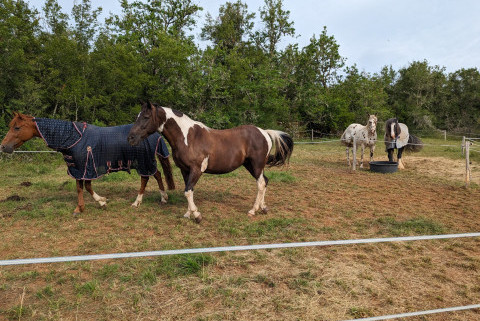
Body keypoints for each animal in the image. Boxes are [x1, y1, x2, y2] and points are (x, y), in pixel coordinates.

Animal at [0, 112, 176, 215]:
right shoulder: (79, 168)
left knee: (146, 178)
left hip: (143, 161)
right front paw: (96, 202)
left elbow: (85, 187)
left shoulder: (85, 167)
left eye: (17, 127)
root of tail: (155, 134)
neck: (72, 137)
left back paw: (137, 202)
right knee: (157, 174)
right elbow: (83, 187)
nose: (3, 146)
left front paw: (90, 205)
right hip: (146, 161)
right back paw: (163, 198)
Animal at [127, 101, 292, 221]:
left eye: (146, 117)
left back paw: (253, 210)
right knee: (265, 182)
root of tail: (265, 132)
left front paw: (197, 215)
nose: (131, 138)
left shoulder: (196, 170)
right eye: (137, 116)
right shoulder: (185, 170)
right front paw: (188, 214)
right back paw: (263, 208)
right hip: (251, 166)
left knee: (261, 184)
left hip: (256, 166)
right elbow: (188, 190)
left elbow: (188, 191)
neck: (187, 137)